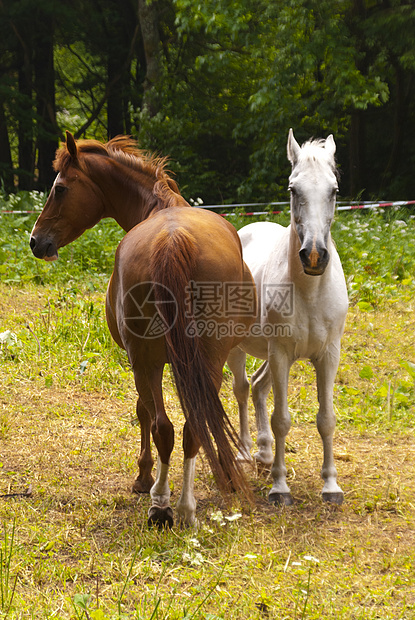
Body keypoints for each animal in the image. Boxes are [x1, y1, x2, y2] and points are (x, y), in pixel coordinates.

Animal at [30, 132, 256, 528]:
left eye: (60, 188)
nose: (34, 240)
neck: (158, 205)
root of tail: (173, 239)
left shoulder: (139, 361)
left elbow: (142, 412)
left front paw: (144, 475)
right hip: (197, 359)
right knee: (186, 427)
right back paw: (177, 507)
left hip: (150, 362)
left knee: (166, 425)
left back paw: (165, 504)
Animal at [229, 128, 350, 506]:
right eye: (293, 189)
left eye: (334, 190)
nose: (313, 256)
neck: (309, 290)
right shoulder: (281, 353)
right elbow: (281, 419)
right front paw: (280, 488)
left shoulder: (327, 355)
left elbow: (326, 419)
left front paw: (331, 486)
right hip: (237, 348)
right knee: (242, 389)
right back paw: (245, 452)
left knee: (257, 387)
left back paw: (265, 454)